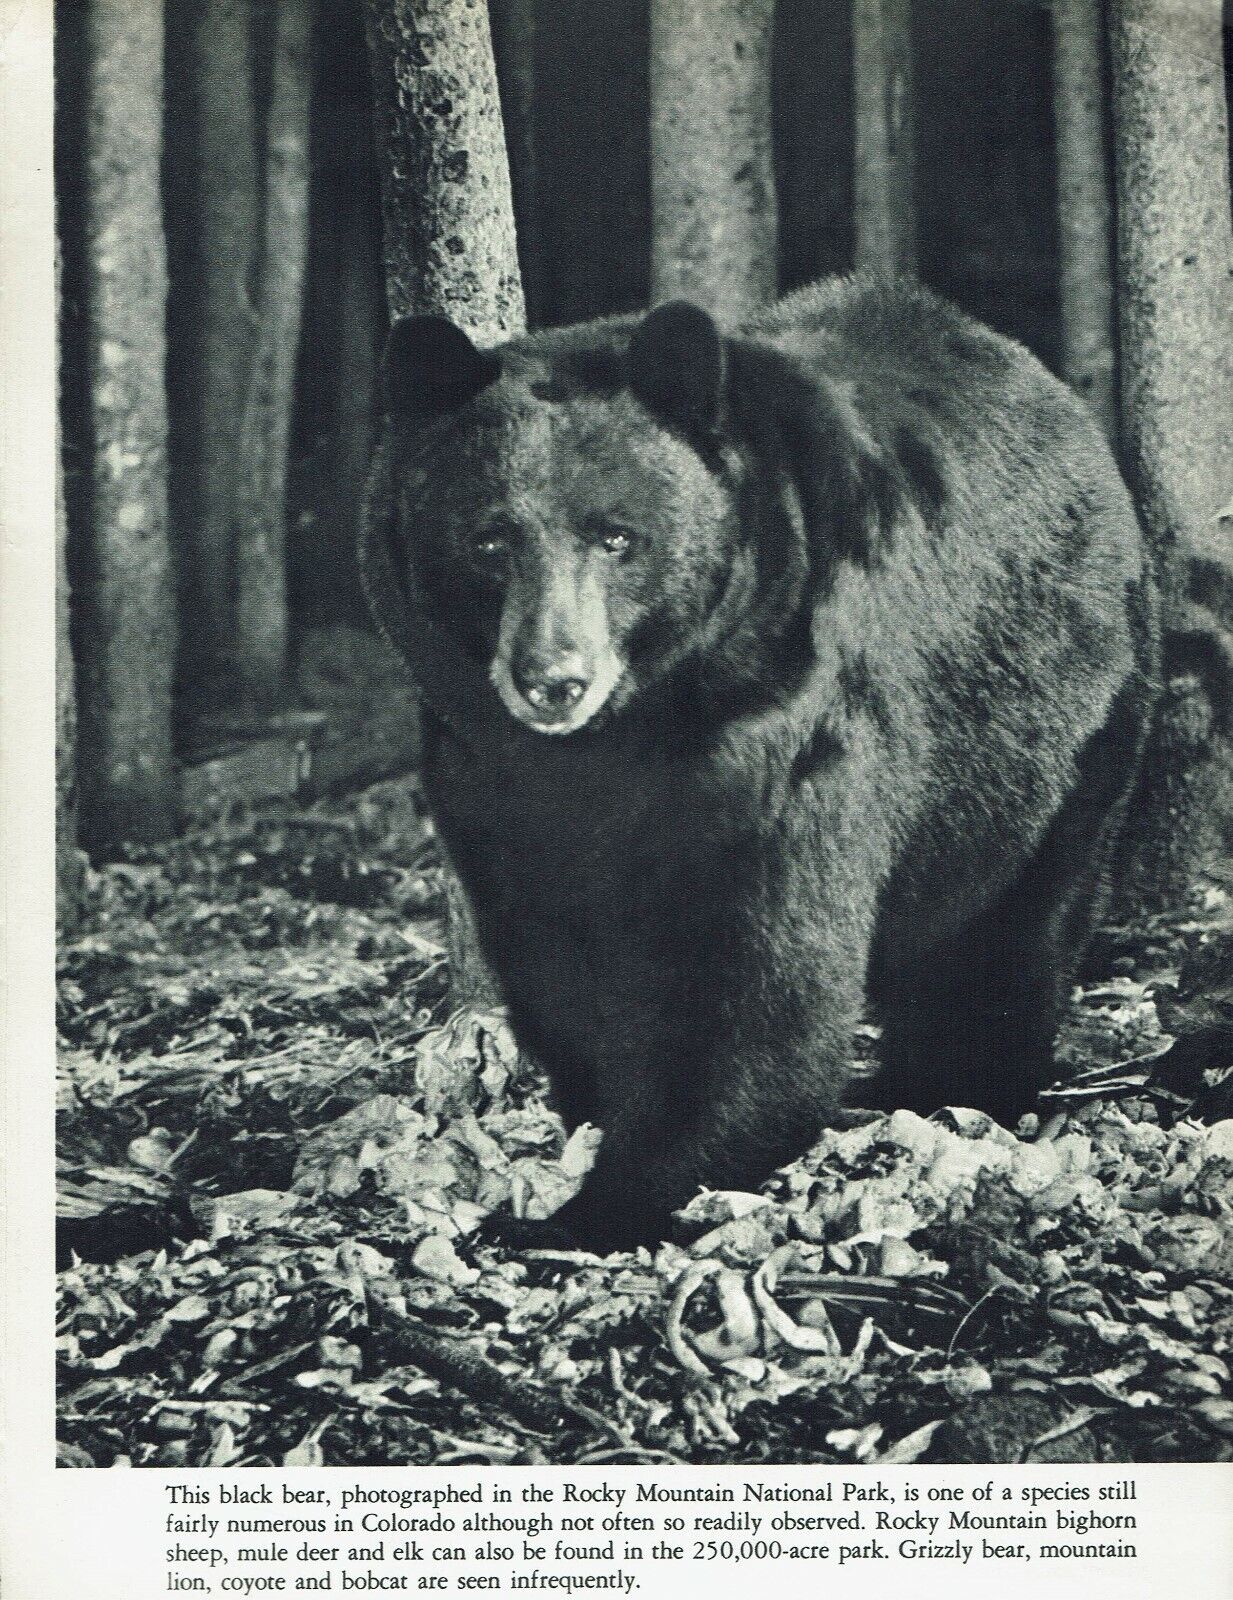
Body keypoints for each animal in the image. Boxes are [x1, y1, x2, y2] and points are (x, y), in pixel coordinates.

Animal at [361, 272, 1164, 1248]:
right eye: (489, 540)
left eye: (616, 535)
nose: (552, 679)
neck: (631, 731)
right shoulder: (484, 769)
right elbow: (554, 947)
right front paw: (590, 1115)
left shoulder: (787, 734)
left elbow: (754, 975)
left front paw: (602, 1201)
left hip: (1058, 725)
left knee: (1011, 918)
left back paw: (957, 1082)